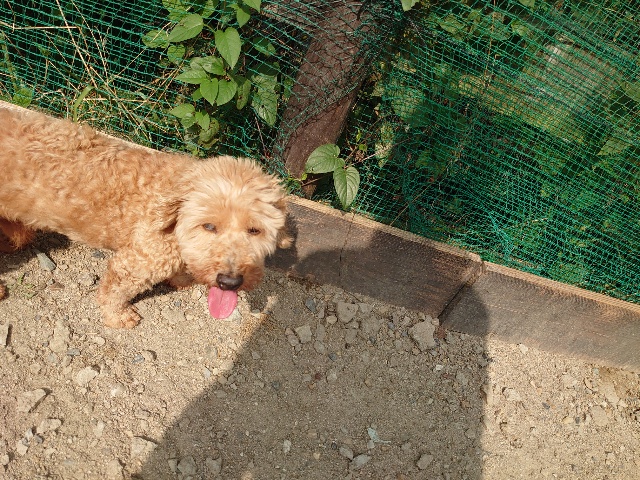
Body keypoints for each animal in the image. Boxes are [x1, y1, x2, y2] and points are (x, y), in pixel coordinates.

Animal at [0, 107, 291, 328]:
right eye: (209, 226)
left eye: (254, 230)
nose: (229, 282)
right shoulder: (136, 262)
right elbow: (114, 292)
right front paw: (118, 317)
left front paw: (183, 279)